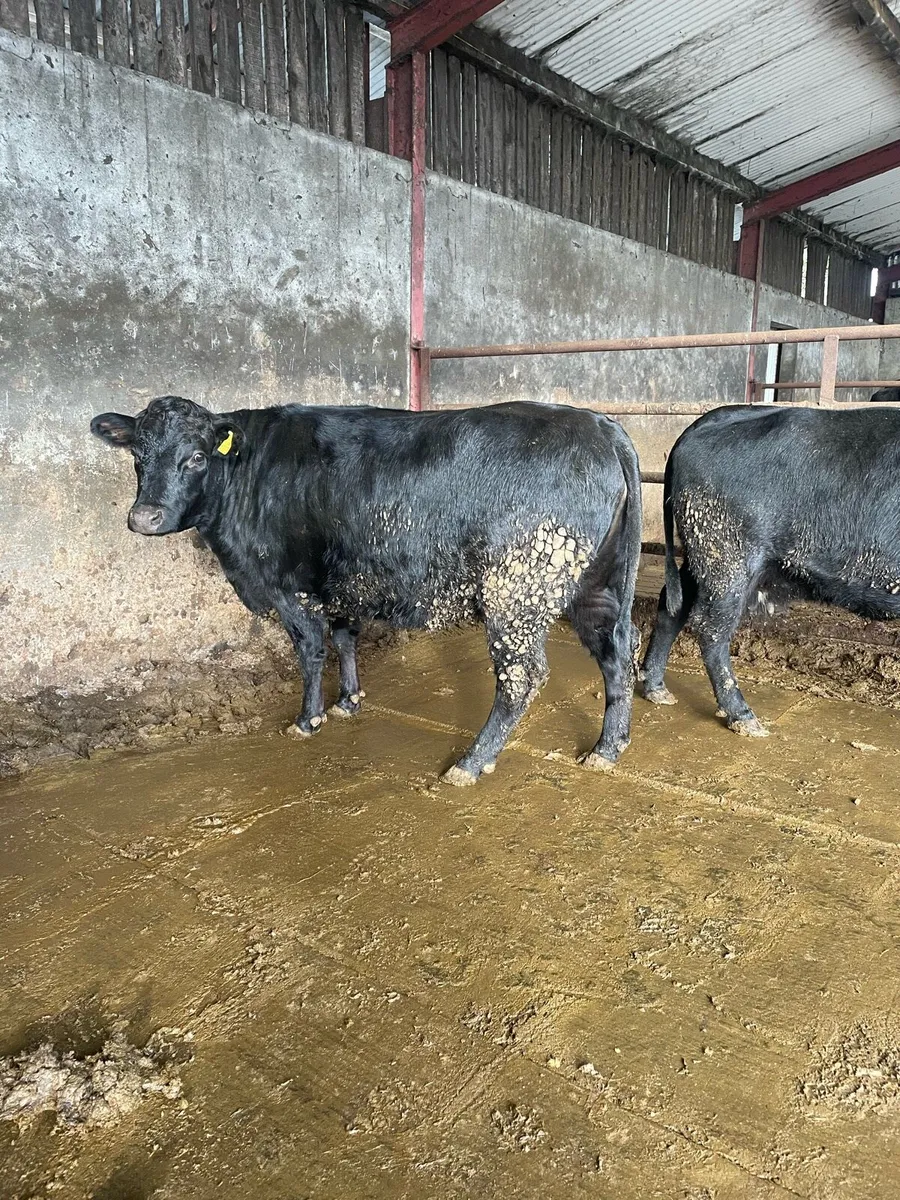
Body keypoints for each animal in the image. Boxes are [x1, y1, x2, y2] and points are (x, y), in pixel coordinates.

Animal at [91, 396, 642, 784]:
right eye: (138, 455)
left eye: (196, 457)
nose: (144, 517)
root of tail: (602, 425)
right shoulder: (342, 578)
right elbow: (344, 638)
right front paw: (349, 700)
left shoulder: (289, 586)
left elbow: (311, 650)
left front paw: (308, 719)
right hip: (596, 582)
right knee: (617, 650)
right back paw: (607, 749)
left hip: (518, 589)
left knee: (522, 676)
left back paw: (471, 762)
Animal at [640, 404, 900, 736]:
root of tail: (712, 419)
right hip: (728, 556)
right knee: (711, 628)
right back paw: (742, 716)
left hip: (704, 557)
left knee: (673, 607)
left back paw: (656, 688)